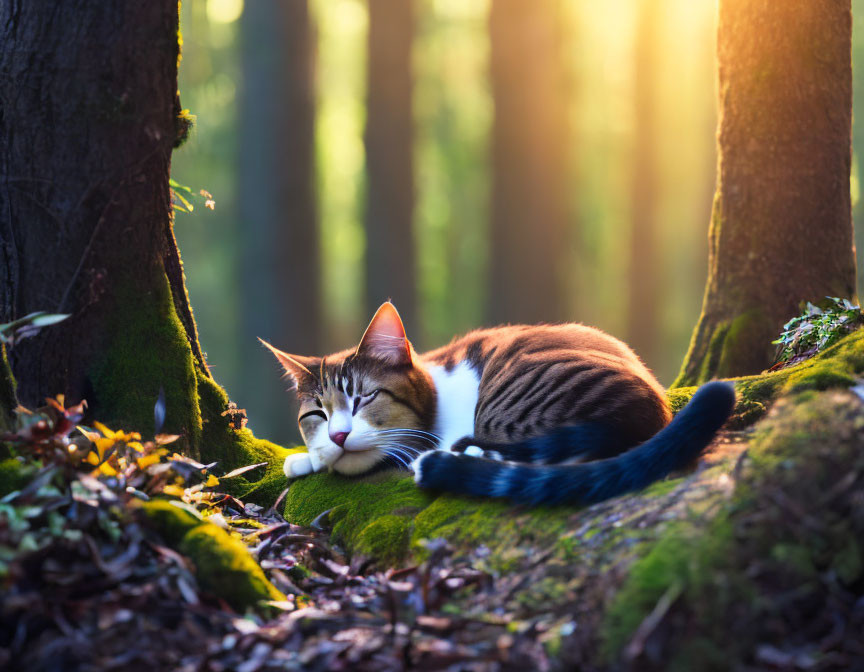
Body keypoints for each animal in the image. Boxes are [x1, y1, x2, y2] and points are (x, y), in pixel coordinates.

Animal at [260, 304, 732, 504]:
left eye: (365, 398)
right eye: (317, 414)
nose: (338, 435)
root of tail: (654, 407)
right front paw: (308, 457)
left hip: (509, 391)